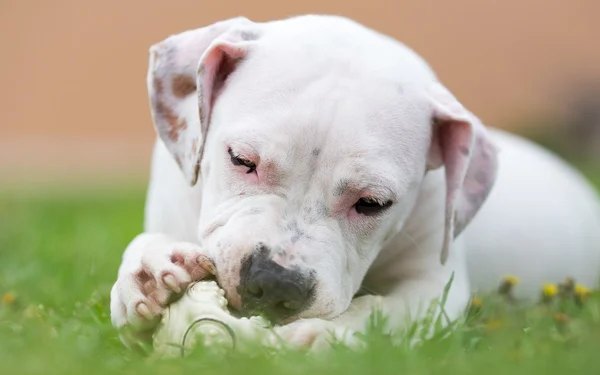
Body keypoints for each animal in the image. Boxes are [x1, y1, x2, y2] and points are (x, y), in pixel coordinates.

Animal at [109, 13, 600, 350]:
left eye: (372, 204)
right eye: (241, 160)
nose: (275, 283)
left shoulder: (435, 285)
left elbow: (388, 310)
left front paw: (327, 337)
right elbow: (144, 246)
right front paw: (148, 274)